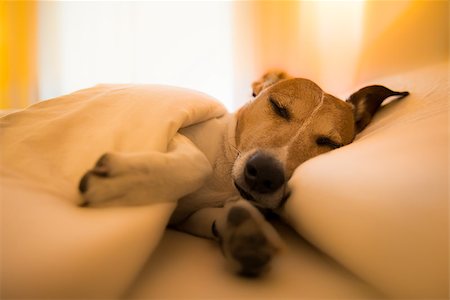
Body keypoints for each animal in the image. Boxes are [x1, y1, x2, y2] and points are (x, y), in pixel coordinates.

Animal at [78, 72, 408, 276]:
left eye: (329, 143)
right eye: (278, 106)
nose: (264, 174)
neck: (225, 178)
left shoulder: (184, 218)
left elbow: (214, 216)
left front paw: (245, 230)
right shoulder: (183, 136)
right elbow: (196, 163)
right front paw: (120, 181)